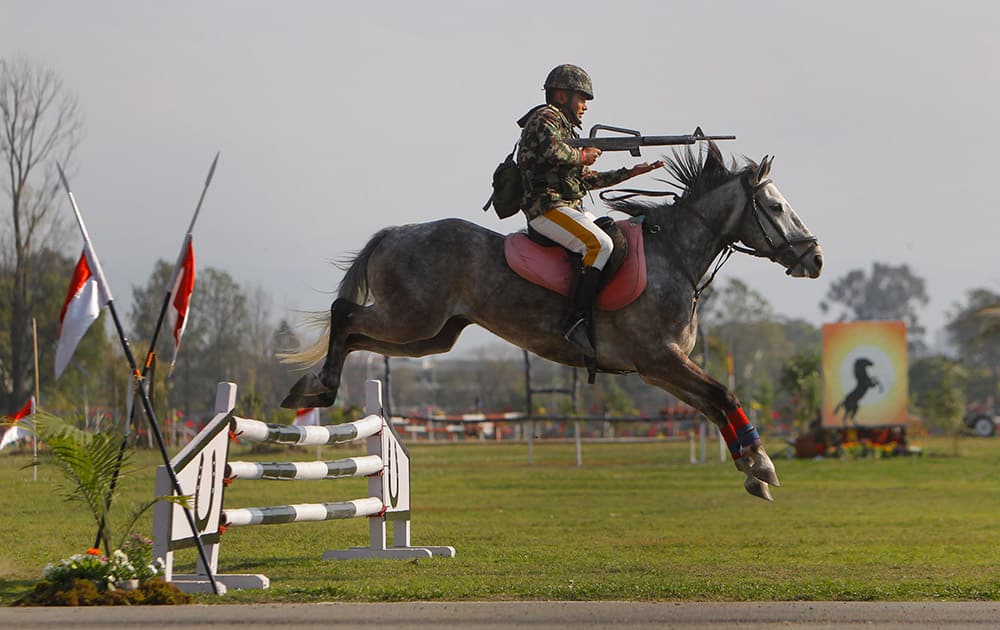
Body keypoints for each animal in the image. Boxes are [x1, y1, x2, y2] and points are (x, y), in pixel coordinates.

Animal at [282, 143, 820, 504]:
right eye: (776, 207)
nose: (814, 259)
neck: (674, 255)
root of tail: (395, 232)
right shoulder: (659, 358)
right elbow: (723, 396)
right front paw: (763, 464)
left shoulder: (658, 369)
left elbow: (714, 405)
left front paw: (752, 468)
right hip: (411, 318)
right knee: (345, 315)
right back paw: (319, 387)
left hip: (429, 337)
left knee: (356, 334)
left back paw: (311, 387)